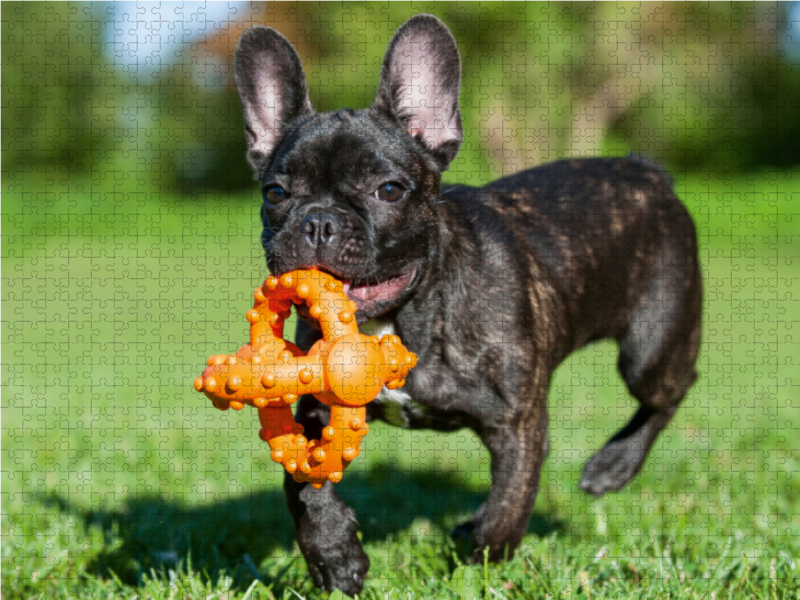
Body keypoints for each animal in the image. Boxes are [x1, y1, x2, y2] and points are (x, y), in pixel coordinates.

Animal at [230, 14, 700, 596]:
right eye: (275, 193)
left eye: (388, 190)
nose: (318, 221)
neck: (402, 320)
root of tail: (649, 172)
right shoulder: (314, 412)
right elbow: (304, 488)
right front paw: (335, 557)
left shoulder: (516, 425)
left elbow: (507, 506)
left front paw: (481, 568)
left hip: (650, 348)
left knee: (670, 390)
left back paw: (612, 466)